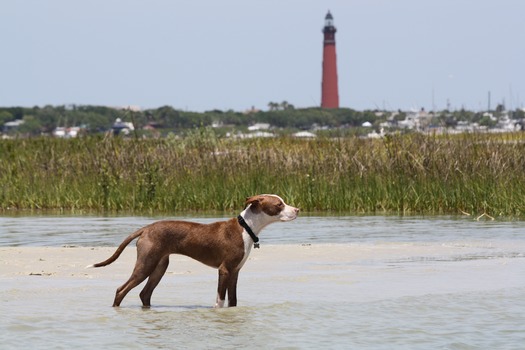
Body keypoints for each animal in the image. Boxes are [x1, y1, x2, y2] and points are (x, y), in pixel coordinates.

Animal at [88, 196, 296, 308]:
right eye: (279, 204)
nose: (297, 209)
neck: (245, 227)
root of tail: (147, 228)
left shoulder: (235, 272)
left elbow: (233, 301)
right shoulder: (225, 270)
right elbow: (220, 300)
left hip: (159, 266)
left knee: (144, 294)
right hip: (146, 264)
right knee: (121, 290)